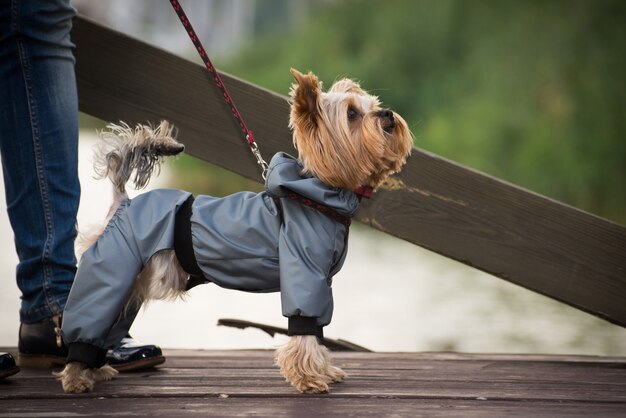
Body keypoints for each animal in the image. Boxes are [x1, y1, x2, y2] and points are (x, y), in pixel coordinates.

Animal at [56, 68, 412, 392]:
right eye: (352, 114)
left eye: (374, 104)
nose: (388, 114)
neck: (316, 196)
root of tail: (123, 203)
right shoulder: (305, 273)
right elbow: (304, 329)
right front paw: (309, 377)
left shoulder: (321, 282)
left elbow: (317, 329)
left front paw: (324, 370)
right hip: (113, 268)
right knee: (87, 317)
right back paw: (76, 377)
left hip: (130, 282)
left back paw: (98, 369)